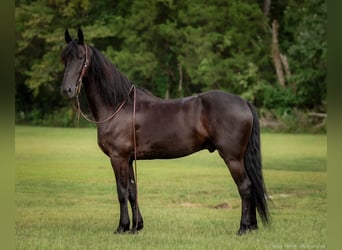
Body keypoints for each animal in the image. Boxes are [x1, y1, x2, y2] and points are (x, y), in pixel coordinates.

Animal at [61, 28, 270, 235]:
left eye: (81, 57)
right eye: (63, 58)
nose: (66, 90)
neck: (118, 106)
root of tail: (244, 102)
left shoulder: (117, 157)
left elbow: (121, 192)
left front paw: (122, 227)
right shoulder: (128, 159)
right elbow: (132, 192)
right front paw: (136, 226)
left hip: (232, 158)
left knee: (245, 187)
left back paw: (243, 228)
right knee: (251, 186)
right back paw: (252, 226)